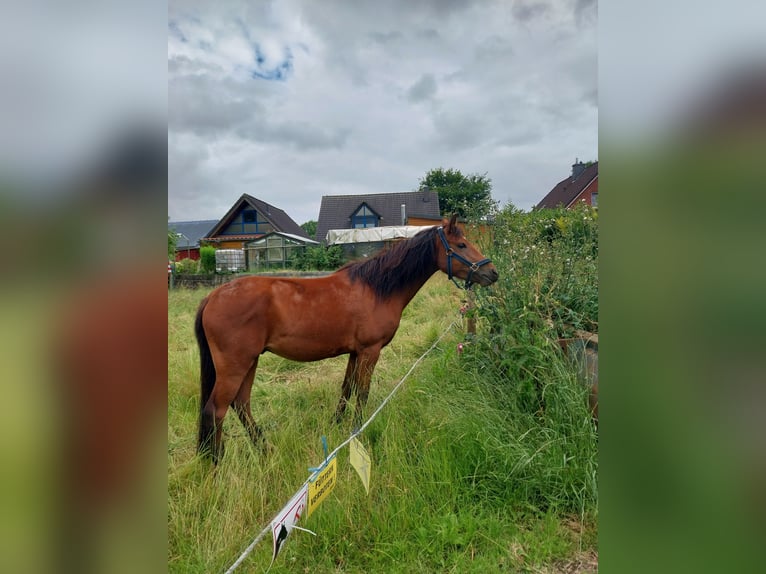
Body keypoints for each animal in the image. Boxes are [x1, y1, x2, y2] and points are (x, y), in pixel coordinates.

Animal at [195, 216, 500, 464]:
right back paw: (217, 463)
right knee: (216, 410)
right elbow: (362, 392)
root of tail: (213, 296)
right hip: (235, 365)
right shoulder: (370, 351)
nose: (492, 273)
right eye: (461, 245)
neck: (377, 288)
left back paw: (264, 449)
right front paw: (357, 431)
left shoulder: (355, 352)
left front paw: (336, 425)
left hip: (250, 362)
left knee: (240, 405)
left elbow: (347, 388)